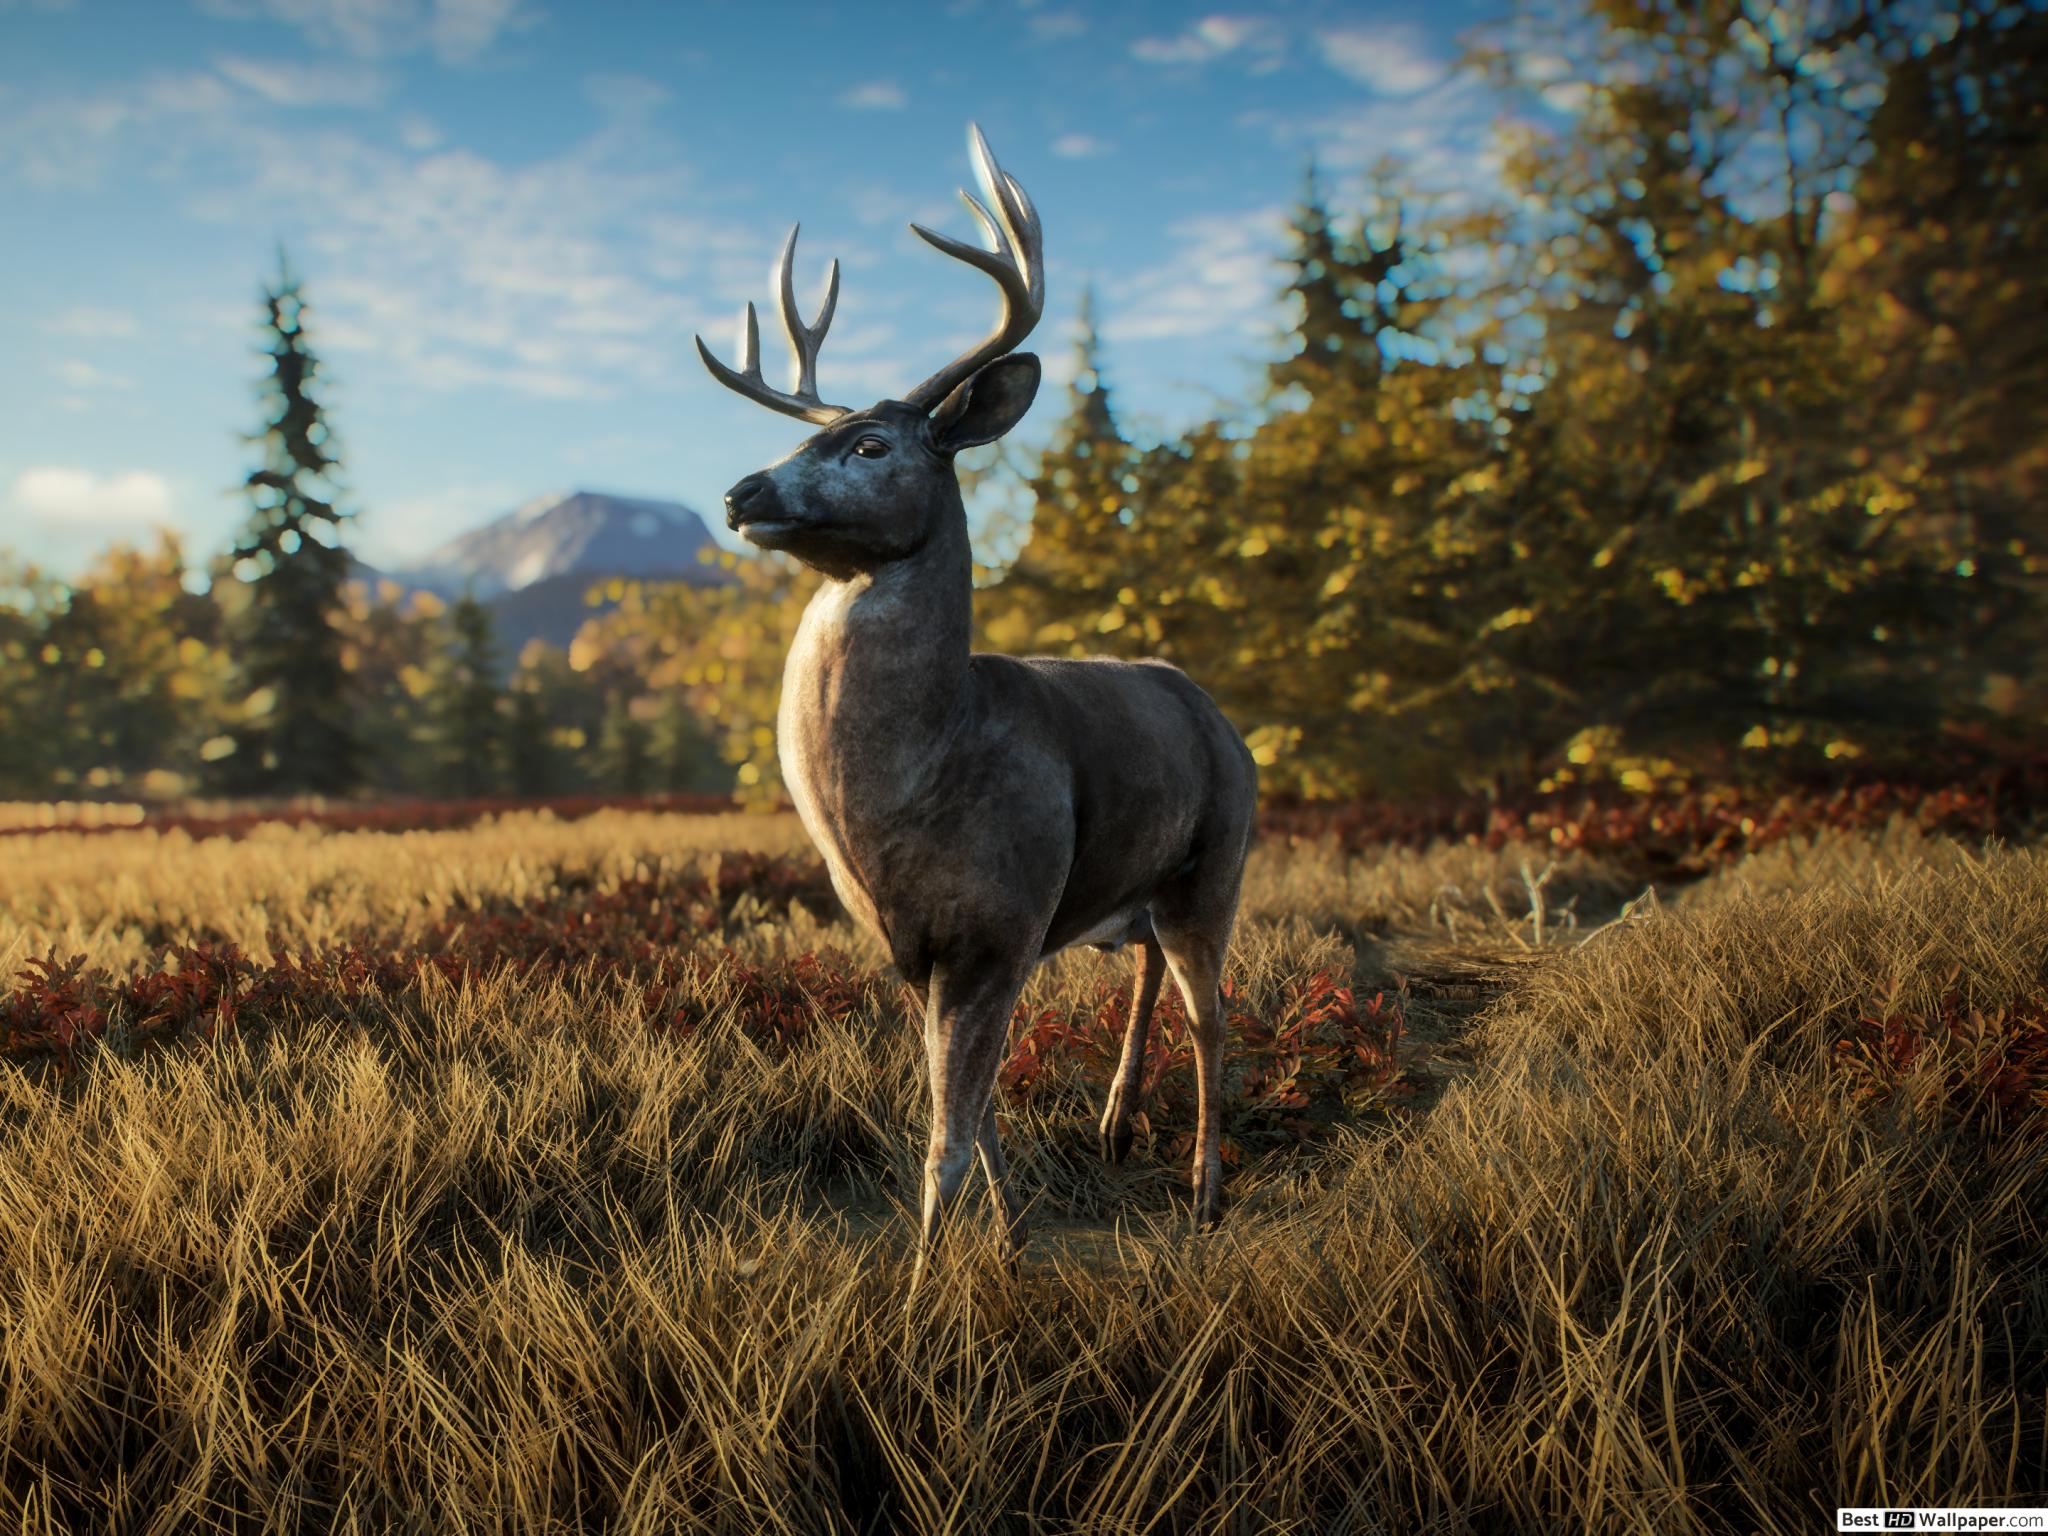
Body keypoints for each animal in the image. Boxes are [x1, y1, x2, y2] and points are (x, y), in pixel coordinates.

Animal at [696, 125, 1257, 1278]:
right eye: (809, 438)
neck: (903, 795)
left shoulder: (999, 921)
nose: (740, 492)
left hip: (1216, 861)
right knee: (1145, 974)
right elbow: (978, 1106)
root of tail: (1220, 716)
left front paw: (919, 1285)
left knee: (1213, 1014)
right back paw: (1115, 1126)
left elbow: (947, 1135)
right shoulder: (912, 946)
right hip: (1130, 885)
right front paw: (1006, 1235)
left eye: (870, 445)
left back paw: (1205, 1190)